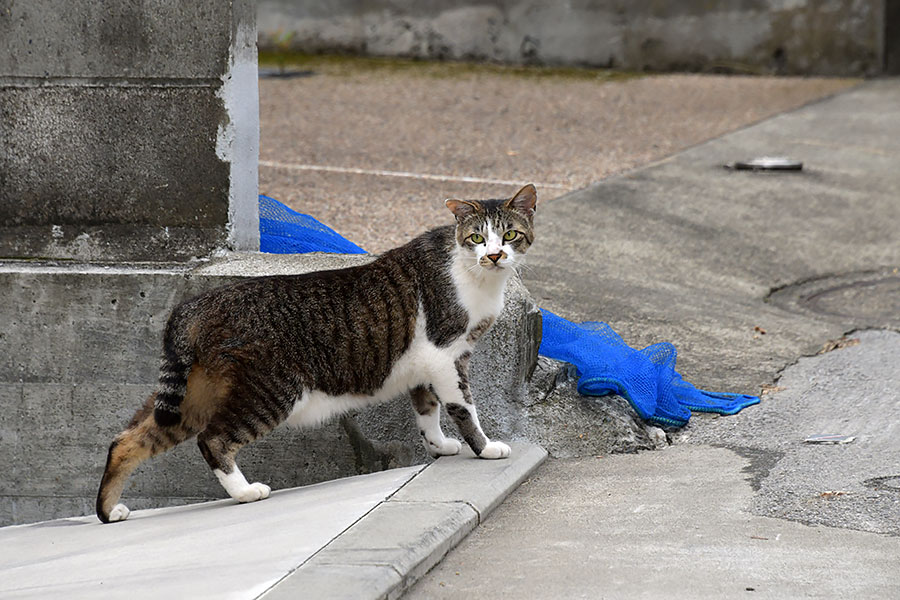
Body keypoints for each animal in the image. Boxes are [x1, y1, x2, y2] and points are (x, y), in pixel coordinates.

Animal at [96, 185, 536, 524]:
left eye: (511, 235)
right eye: (477, 238)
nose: (495, 255)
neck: (472, 273)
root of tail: (194, 305)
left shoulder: (425, 365)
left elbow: (426, 410)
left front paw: (439, 446)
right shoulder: (447, 355)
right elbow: (463, 407)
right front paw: (486, 448)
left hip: (192, 397)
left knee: (127, 440)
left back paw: (108, 511)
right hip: (269, 391)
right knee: (214, 439)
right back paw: (245, 492)